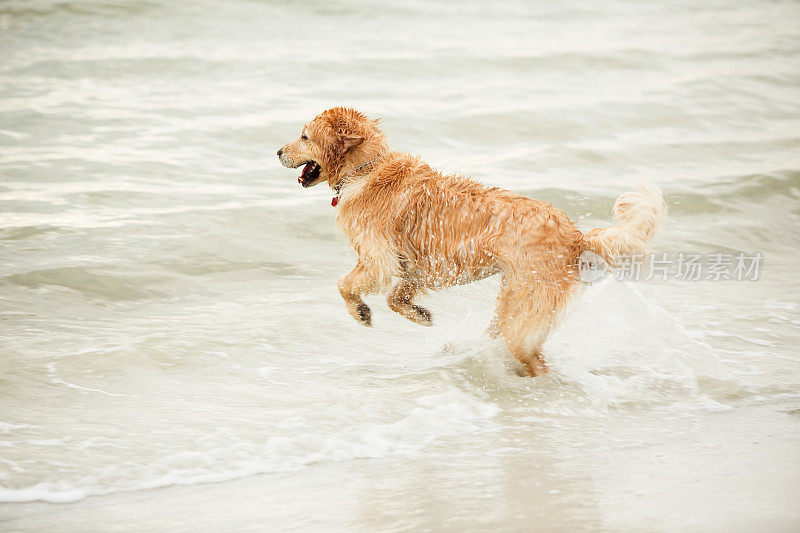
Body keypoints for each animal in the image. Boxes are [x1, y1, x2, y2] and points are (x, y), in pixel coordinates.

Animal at [278, 107, 664, 374]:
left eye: (304, 136)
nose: (277, 152)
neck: (367, 168)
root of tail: (576, 236)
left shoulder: (378, 258)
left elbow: (345, 284)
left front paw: (360, 312)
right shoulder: (415, 267)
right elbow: (396, 298)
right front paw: (419, 315)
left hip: (522, 308)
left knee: (532, 359)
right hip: (513, 301)